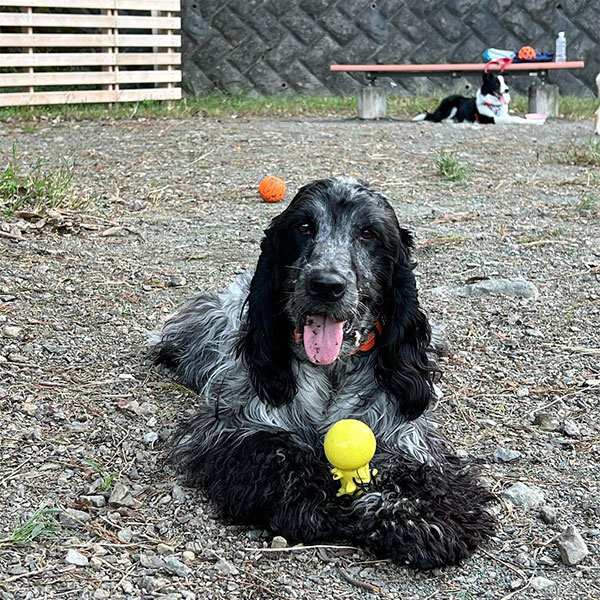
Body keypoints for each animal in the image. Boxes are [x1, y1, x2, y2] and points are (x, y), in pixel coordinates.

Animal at [152, 177, 494, 568]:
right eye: (303, 227)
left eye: (368, 233)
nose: (326, 285)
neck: (333, 368)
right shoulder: (231, 428)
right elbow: (275, 454)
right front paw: (318, 500)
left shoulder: (406, 436)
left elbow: (417, 476)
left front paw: (416, 517)